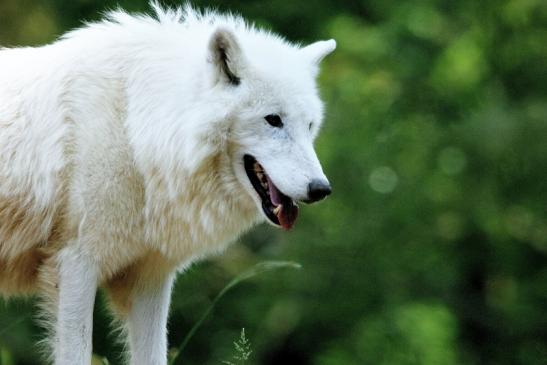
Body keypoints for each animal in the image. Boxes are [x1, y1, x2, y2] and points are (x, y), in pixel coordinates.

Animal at [0, 3, 334, 364]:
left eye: (309, 125)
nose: (321, 189)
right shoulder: (74, 265)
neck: (136, 130)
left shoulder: (150, 276)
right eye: (273, 120)